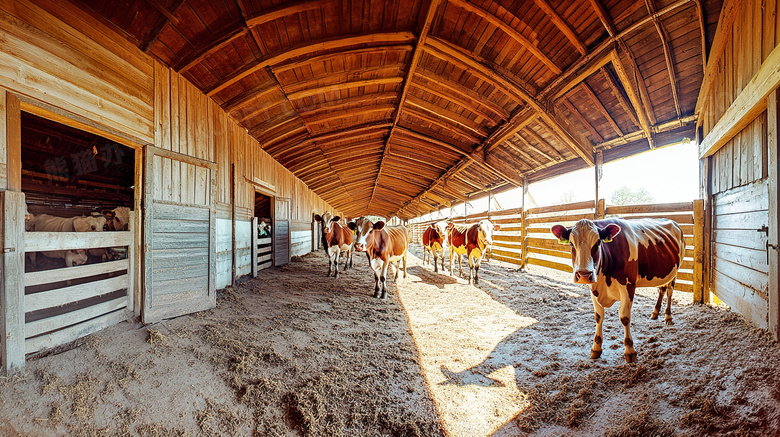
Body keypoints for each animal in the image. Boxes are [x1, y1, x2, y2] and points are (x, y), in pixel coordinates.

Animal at [552, 216, 684, 362]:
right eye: (571, 243)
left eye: (598, 243)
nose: (584, 275)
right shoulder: (593, 287)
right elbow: (598, 316)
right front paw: (596, 348)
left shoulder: (628, 285)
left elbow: (624, 317)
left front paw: (630, 351)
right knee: (662, 289)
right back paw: (655, 313)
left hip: (674, 272)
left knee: (670, 291)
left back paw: (668, 317)